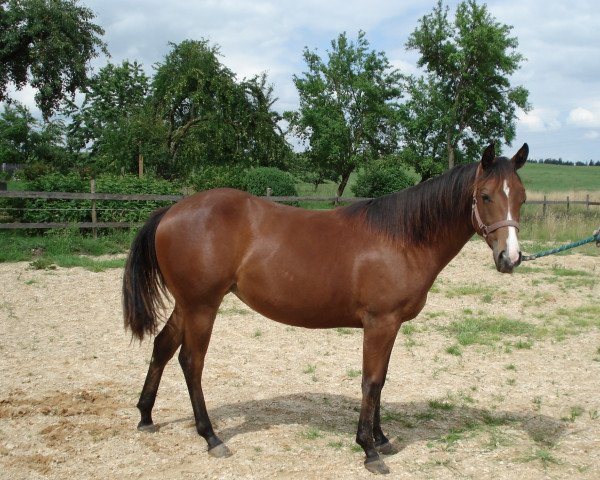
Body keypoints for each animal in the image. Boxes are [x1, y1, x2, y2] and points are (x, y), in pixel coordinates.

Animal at [123, 142, 528, 472]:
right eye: (485, 196)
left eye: (521, 198)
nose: (510, 258)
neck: (401, 238)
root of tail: (171, 211)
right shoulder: (380, 322)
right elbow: (371, 381)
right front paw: (369, 449)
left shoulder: (391, 324)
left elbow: (381, 381)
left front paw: (381, 438)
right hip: (202, 306)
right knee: (191, 362)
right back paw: (211, 437)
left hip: (187, 304)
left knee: (162, 347)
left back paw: (146, 416)